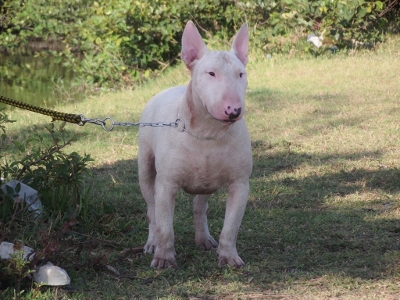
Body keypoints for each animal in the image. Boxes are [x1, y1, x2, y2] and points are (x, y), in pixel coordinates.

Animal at [139, 21, 252, 270]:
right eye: (211, 73)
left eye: (241, 74)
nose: (234, 110)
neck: (208, 131)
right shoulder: (166, 185)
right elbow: (165, 226)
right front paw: (164, 258)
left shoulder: (240, 184)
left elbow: (231, 226)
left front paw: (229, 256)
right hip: (145, 167)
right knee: (151, 210)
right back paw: (152, 243)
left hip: (207, 183)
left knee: (200, 207)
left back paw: (204, 239)